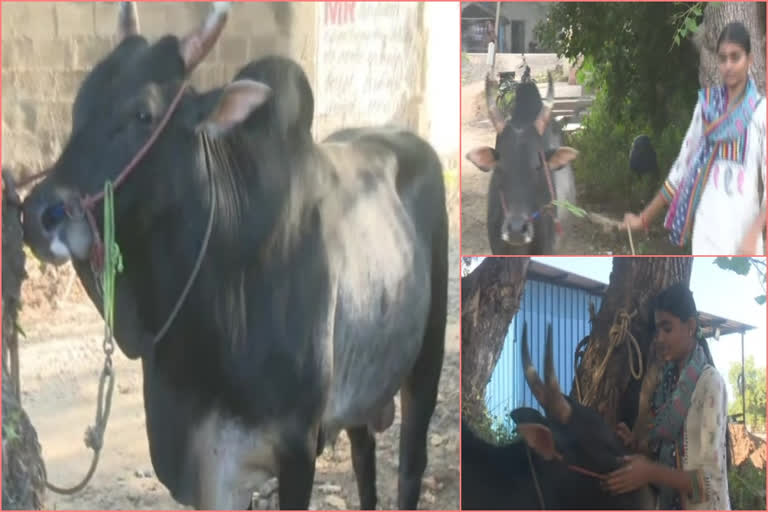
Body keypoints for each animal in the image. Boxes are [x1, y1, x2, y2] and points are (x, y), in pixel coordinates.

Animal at [19, 3, 450, 508]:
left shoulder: (297, 448)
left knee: (410, 466)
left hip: (426, 364)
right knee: (365, 457)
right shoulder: (210, 473)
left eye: (144, 112)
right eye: (79, 105)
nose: (39, 216)